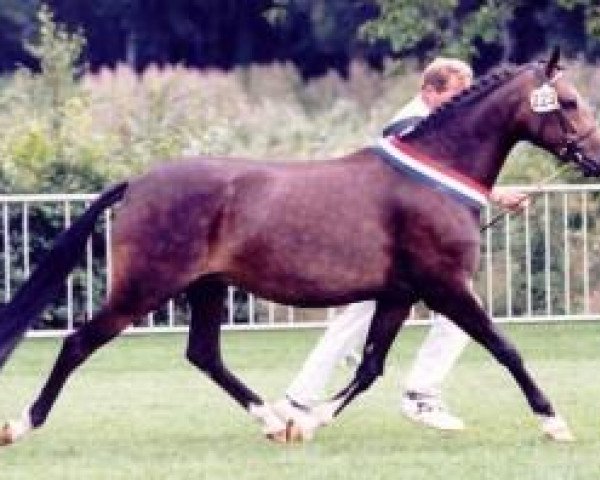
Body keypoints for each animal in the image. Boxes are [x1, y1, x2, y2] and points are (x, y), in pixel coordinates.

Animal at [1, 50, 600, 444]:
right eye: (569, 102)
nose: (595, 158)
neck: (435, 176)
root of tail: (139, 183)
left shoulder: (399, 295)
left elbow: (370, 366)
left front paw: (307, 421)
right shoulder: (447, 288)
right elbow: (506, 349)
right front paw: (555, 423)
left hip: (206, 288)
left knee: (204, 354)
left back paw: (272, 420)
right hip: (144, 288)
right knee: (78, 343)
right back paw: (22, 424)